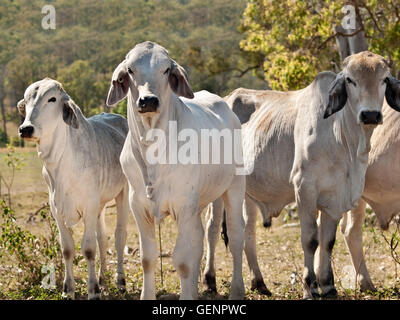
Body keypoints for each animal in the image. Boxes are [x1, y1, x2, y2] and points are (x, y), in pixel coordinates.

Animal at [17, 78, 130, 300]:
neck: (60, 162)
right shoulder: (57, 210)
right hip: (100, 206)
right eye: (26, 100)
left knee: (119, 236)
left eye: (52, 99)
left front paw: (93, 290)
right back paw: (103, 280)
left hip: (123, 193)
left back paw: (120, 282)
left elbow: (88, 249)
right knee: (102, 238)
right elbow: (67, 249)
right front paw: (68, 289)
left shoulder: (89, 206)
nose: (26, 129)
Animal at [104, 40, 245, 300]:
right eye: (130, 70)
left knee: (236, 235)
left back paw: (237, 291)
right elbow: (148, 258)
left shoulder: (184, 205)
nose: (148, 100)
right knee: (202, 238)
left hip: (234, 186)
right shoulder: (138, 206)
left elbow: (183, 260)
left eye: (166, 69)